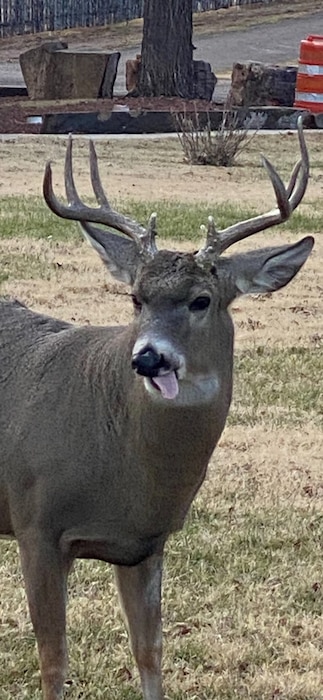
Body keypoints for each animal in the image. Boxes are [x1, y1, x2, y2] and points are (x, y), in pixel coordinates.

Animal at [0, 117, 314, 696]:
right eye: (135, 299)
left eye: (201, 300)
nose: (148, 357)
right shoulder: (36, 523)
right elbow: (54, 660)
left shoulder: (146, 543)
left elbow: (149, 652)